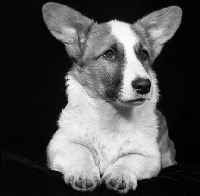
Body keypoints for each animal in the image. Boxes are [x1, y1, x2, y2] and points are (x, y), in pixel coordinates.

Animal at [42, 2, 183, 193]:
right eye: (109, 54)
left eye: (143, 54)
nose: (145, 86)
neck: (114, 116)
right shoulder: (61, 143)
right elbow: (81, 152)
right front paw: (83, 172)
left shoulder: (149, 157)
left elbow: (128, 159)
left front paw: (120, 174)